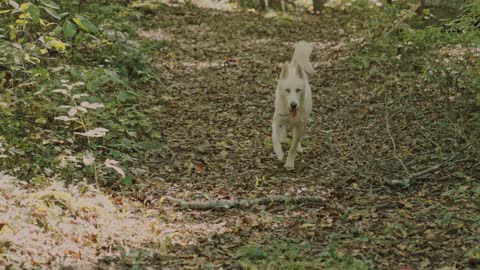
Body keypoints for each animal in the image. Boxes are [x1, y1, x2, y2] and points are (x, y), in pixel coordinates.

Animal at [272, 40, 314, 170]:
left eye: (298, 90)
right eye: (287, 90)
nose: (293, 105)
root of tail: (293, 66)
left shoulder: (300, 126)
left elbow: (293, 146)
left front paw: (289, 163)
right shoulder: (275, 120)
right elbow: (274, 138)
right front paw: (279, 153)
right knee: (284, 127)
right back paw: (282, 136)